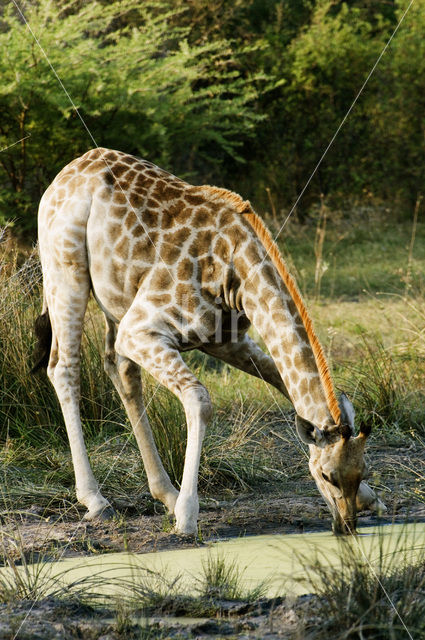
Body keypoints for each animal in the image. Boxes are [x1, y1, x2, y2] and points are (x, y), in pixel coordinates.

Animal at [32, 149, 384, 536]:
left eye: (362, 471)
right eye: (327, 475)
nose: (346, 526)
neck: (237, 275)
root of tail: (64, 174)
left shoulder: (227, 339)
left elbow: (281, 381)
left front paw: (371, 498)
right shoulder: (141, 330)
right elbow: (199, 400)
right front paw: (187, 517)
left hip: (116, 296)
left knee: (119, 369)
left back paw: (165, 494)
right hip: (66, 273)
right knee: (64, 368)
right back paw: (97, 501)